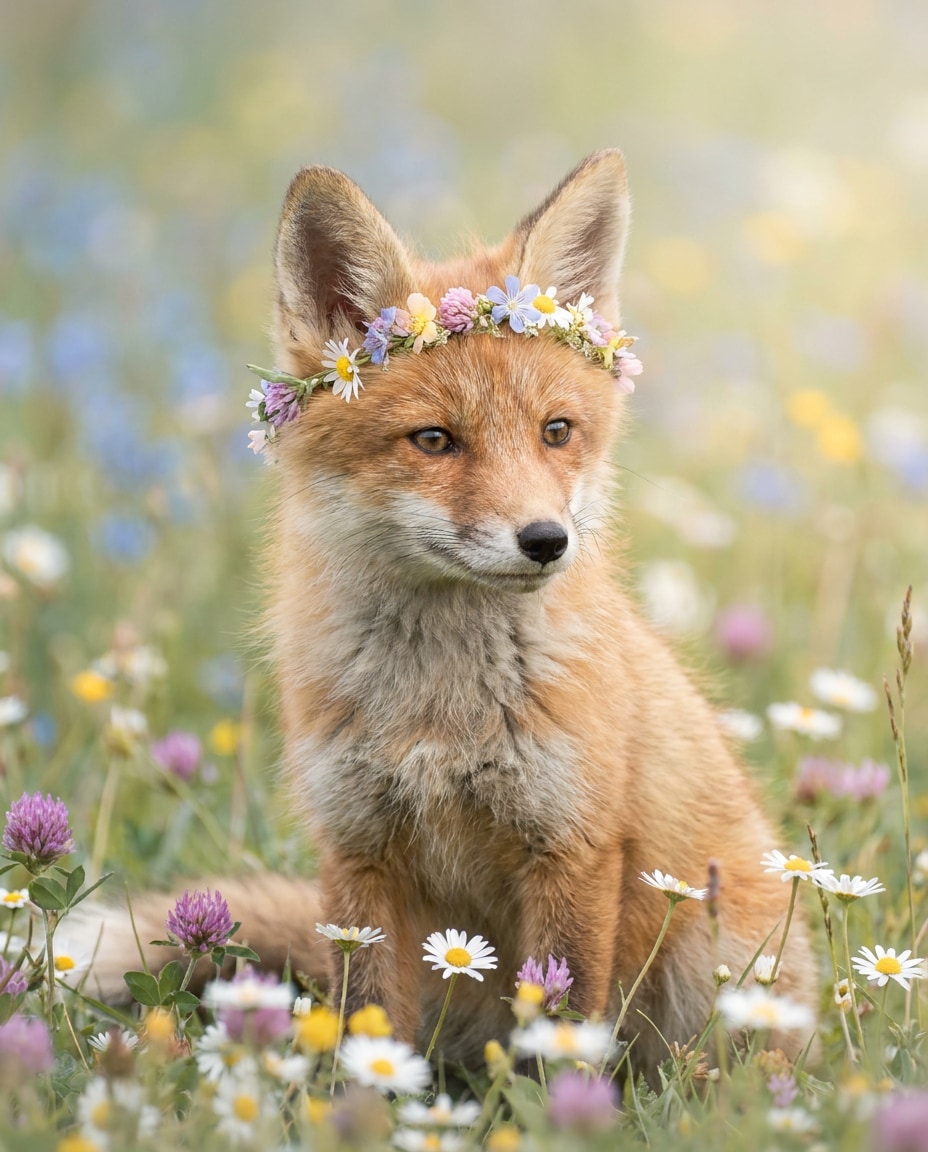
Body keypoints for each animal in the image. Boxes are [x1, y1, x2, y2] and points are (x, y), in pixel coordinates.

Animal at [84, 150, 816, 1077]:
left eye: (556, 431)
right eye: (434, 441)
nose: (546, 541)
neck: (440, 711)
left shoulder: (571, 849)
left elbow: (562, 1018)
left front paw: (558, 1104)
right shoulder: (357, 851)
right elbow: (365, 1026)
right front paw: (358, 1099)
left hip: (710, 968)